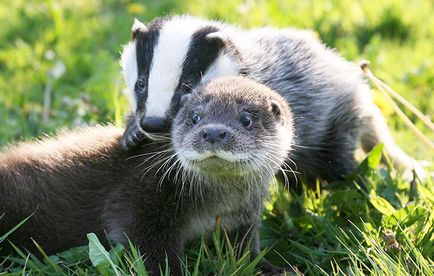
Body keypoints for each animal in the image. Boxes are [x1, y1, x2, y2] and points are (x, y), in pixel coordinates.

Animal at [0, 76, 292, 274]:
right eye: (195, 117)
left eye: (246, 120)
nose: (212, 132)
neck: (217, 205)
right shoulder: (140, 199)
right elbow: (147, 248)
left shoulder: (243, 218)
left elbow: (246, 251)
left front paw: (274, 269)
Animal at [120, 14, 426, 183]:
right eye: (140, 83)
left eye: (186, 86)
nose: (153, 123)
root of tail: (360, 90)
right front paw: (131, 132)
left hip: (334, 121)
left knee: (337, 161)